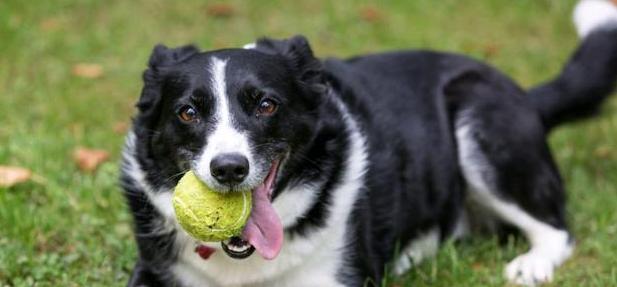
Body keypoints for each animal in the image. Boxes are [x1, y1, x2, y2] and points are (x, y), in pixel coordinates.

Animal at [120, 1, 616, 286]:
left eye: (266, 105)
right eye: (188, 112)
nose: (228, 168)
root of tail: (525, 96)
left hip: (481, 120)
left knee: (557, 230)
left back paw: (533, 263)